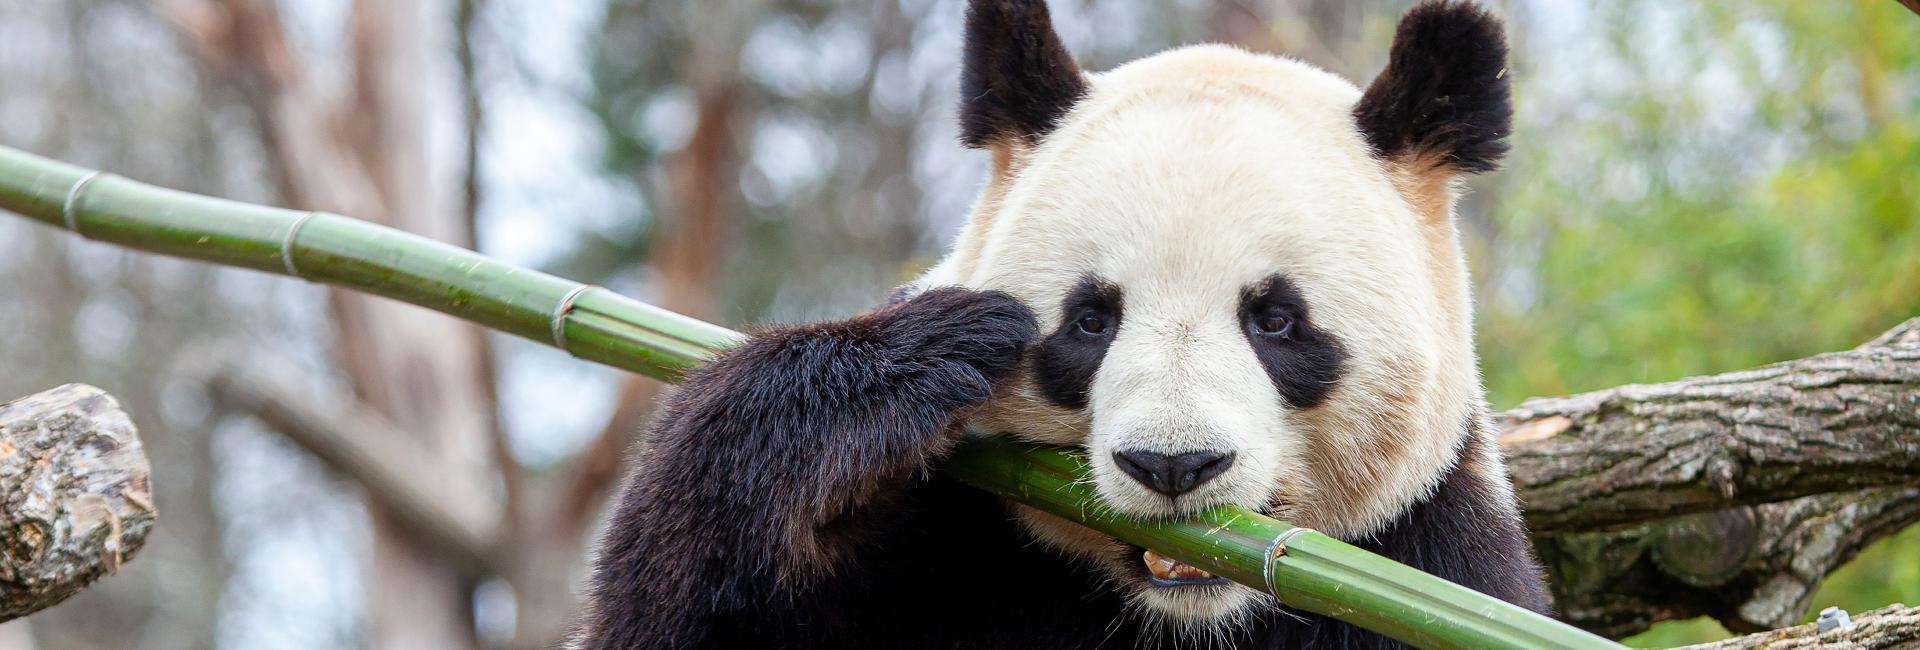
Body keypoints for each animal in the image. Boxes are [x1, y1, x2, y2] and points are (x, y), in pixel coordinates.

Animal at [576, 0, 1551, 648]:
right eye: (1090, 320)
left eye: (1276, 320)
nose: (1173, 465)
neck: (1184, 617)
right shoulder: (938, 552)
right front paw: (910, 368)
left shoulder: (1430, 569)